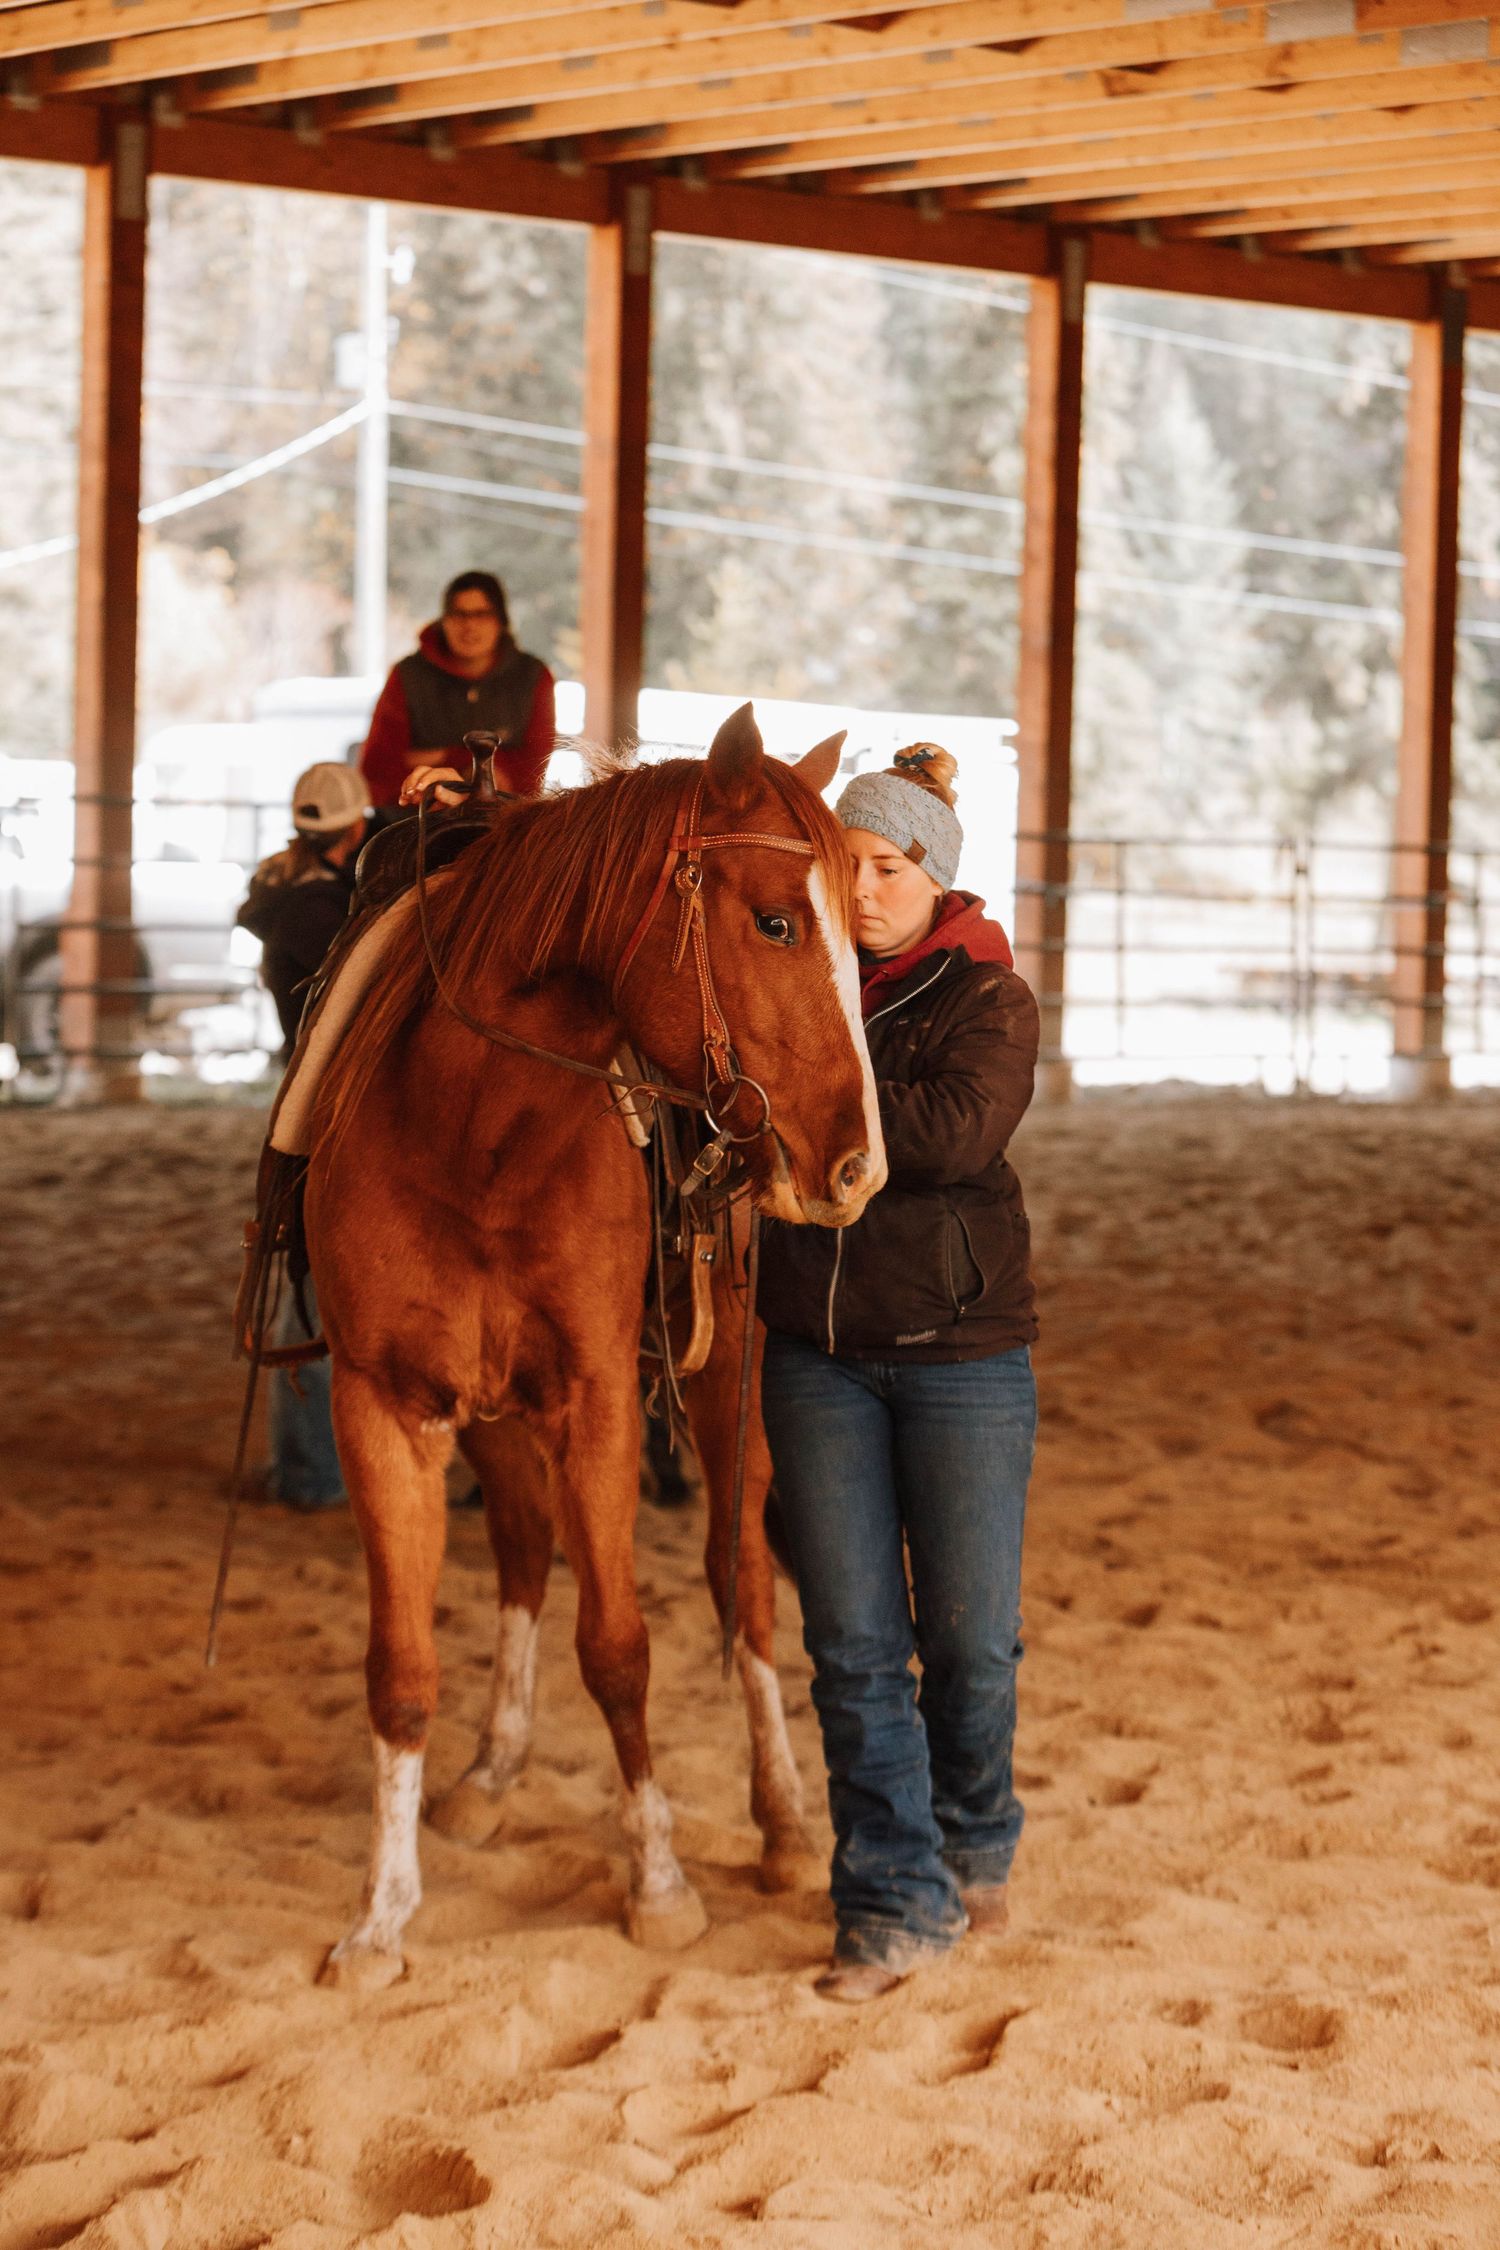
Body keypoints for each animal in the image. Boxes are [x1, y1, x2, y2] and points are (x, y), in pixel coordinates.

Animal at [303, 705, 886, 1989]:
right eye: (776, 920)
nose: (859, 1166)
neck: (474, 1129)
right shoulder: (382, 1403)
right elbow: (398, 1669)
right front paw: (378, 1920)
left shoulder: (602, 1398)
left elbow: (620, 1647)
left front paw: (659, 1884)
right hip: (494, 1416)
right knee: (526, 1546)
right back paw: (489, 1774)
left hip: (728, 1385)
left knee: (739, 1581)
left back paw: (781, 1823)